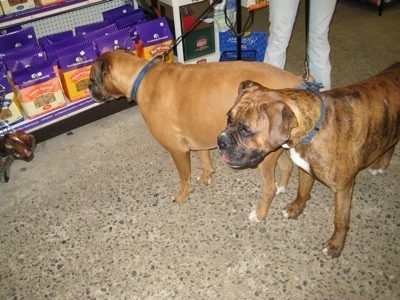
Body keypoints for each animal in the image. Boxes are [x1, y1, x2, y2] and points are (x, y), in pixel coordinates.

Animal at [90, 50, 304, 204]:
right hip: (274, 150)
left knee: (270, 186)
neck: (141, 77)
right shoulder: (199, 138)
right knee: (287, 167)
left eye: (92, 80)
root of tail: (298, 83)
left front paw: (183, 196)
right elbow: (205, 161)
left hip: (263, 157)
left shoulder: (178, 151)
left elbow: (185, 178)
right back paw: (282, 188)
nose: (89, 89)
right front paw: (207, 177)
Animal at [219, 62, 400, 256]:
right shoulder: (305, 170)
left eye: (245, 130)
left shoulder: (343, 188)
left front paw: (336, 244)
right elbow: (302, 192)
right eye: (228, 118)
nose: (220, 141)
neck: (315, 128)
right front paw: (295, 209)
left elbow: (341, 220)